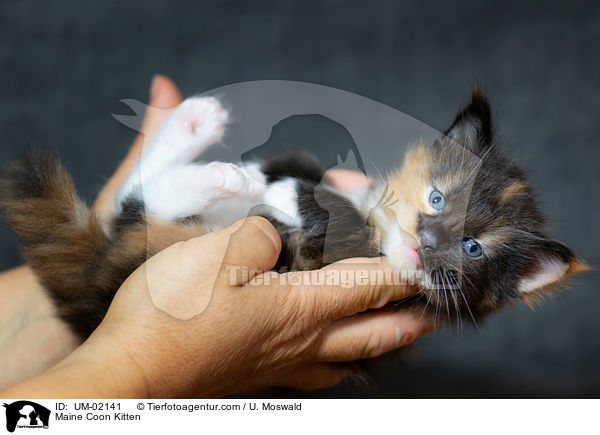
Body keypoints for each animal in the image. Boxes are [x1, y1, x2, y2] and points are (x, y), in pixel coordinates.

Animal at [0, 88, 592, 340]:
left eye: (472, 249)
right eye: (438, 199)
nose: (428, 241)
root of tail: (94, 302)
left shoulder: (329, 256)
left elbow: (327, 217)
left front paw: (299, 197)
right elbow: (301, 170)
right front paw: (285, 178)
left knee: (147, 204)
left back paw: (217, 172)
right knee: (136, 198)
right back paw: (198, 130)